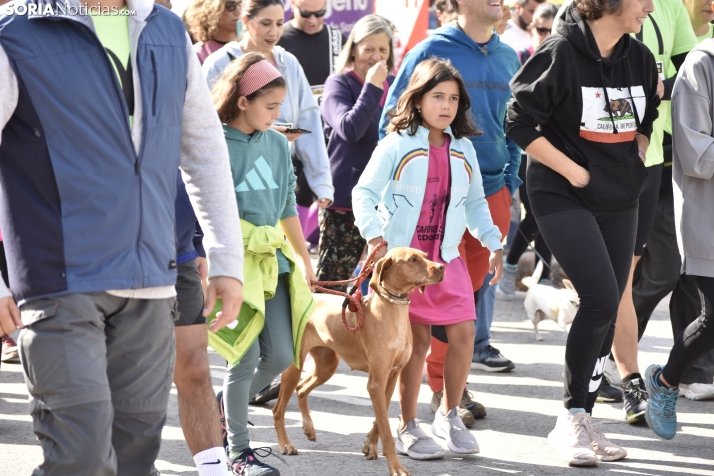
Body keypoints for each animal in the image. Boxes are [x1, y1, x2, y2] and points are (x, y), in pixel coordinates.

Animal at [272, 247, 442, 476]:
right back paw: (285, 444)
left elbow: (380, 421)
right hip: (294, 367)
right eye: (412, 259)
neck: (393, 311)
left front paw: (370, 445)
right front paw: (396, 466)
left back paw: (308, 428)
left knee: (301, 389)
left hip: (327, 366)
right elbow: (386, 430)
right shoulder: (376, 383)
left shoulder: (390, 378)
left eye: (425, 255)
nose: (442, 267)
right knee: (278, 409)